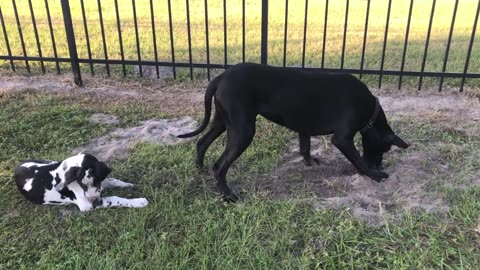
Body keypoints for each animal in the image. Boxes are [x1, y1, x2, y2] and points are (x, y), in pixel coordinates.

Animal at [15, 153, 147, 212]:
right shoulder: (87, 205)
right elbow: (114, 199)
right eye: (82, 185)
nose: (94, 199)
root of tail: (17, 168)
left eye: (96, 182)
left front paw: (129, 185)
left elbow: (111, 180)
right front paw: (140, 202)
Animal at [178, 63, 406, 201]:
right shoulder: (342, 139)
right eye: (384, 149)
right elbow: (357, 159)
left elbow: (305, 147)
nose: (378, 165)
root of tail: (222, 77)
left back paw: (199, 168)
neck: (370, 109)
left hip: (223, 122)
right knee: (219, 166)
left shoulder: (304, 128)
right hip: (242, 130)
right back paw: (227, 196)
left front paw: (309, 161)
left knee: (202, 142)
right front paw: (374, 175)